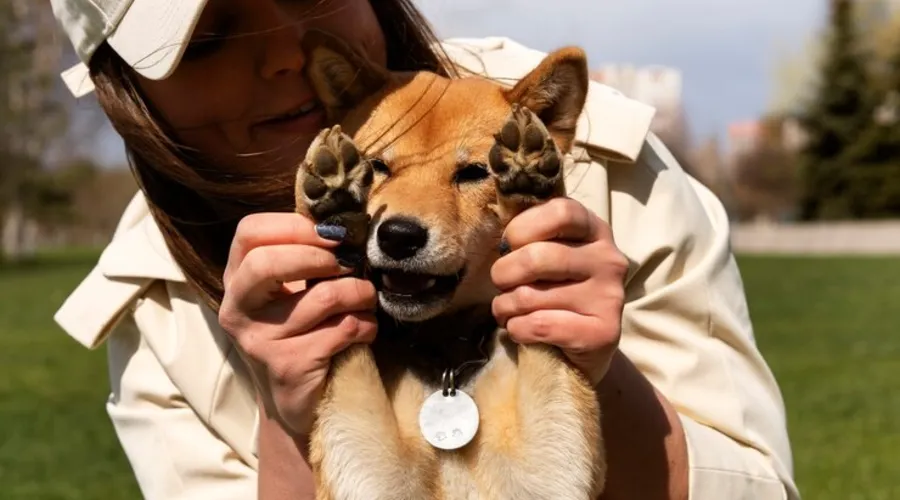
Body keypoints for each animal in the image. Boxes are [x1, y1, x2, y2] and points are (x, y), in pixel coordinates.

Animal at [296, 29, 604, 498]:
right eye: (377, 166)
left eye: (474, 172)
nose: (398, 236)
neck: (447, 360)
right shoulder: (369, 469)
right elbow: (350, 357)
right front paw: (335, 200)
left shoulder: (549, 468)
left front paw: (531, 184)